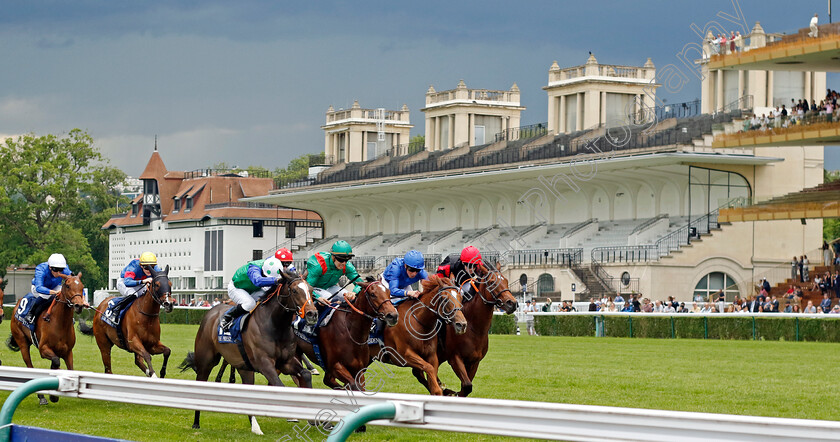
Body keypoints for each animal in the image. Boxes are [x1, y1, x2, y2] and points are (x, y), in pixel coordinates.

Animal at [6, 274, 88, 406]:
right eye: (68, 285)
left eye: (82, 286)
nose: (79, 305)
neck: (60, 322)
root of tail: (18, 303)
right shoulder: (43, 349)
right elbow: (56, 361)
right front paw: (52, 394)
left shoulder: (68, 352)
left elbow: (67, 367)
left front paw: (54, 394)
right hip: (22, 342)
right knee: (30, 367)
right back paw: (41, 397)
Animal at [179, 270, 316, 436]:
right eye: (295, 290)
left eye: (311, 290)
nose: (312, 314)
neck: (275, 325)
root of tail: (211, 312)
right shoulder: (265, 364)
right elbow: (279, 385)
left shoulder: (286, 362)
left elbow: (305, 374)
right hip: (206, 361)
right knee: (201, 382)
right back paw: (196, 423)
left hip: (244, 368)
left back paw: (255, 428)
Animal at [434, 262, 520, 398]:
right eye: (492, 282)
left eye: (506, 281)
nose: (512, 303)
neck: (474, 328)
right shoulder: (455, 358)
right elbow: (466, 385)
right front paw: (449, 392)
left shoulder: (474, 361)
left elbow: (466, 387)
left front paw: (450, 392)